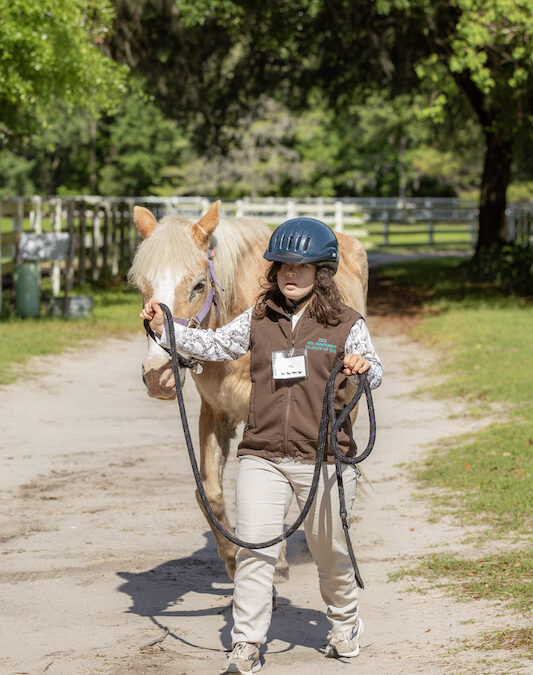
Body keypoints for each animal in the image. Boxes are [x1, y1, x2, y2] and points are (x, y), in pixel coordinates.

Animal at [128, 202, 368, 580]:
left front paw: (277, 560)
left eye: (198, 285)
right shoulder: (216, 412)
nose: (158, 376)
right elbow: (210, 492)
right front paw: (231, 557)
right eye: (141, 285)